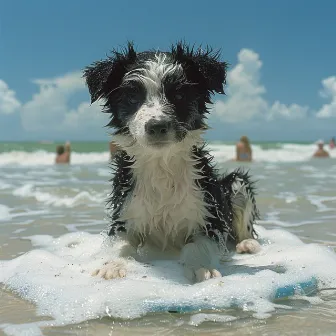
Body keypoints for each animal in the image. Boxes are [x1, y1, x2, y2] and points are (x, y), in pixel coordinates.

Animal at [83, 42, 260, 284]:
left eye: (179, 94)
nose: (157, 126)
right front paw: (112, 265)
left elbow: (198, 245)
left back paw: (247, 243)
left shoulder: (210, 215)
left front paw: (200, 267)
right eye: (132, 98)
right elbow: (121, 244)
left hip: (235, 183)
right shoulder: (125, 209)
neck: (161, 163)